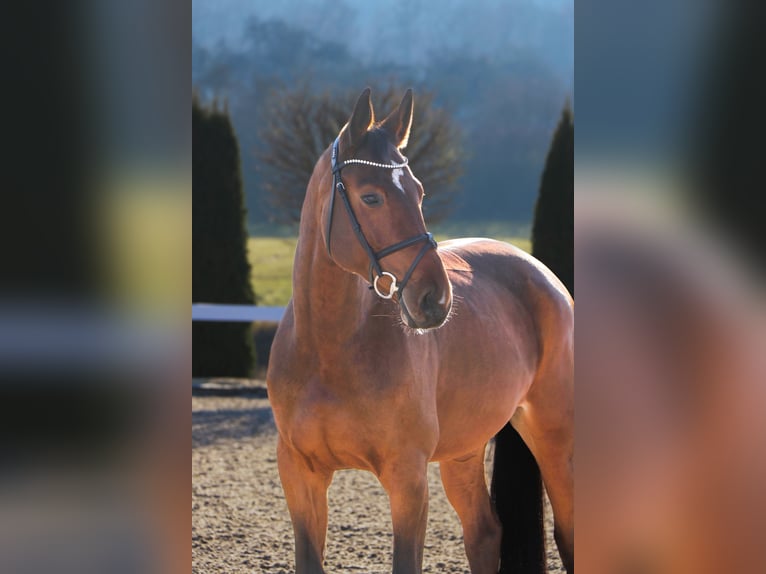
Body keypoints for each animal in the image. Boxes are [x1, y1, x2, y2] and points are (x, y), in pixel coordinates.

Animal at [268, 88, 572, 572]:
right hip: (465, 449)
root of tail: (540, 272)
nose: (436, 300)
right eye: (371, 197)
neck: (328, 351)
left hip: (555, 436)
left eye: (419, 192)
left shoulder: (407, 479)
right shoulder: (300, 476)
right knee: (485, 533)